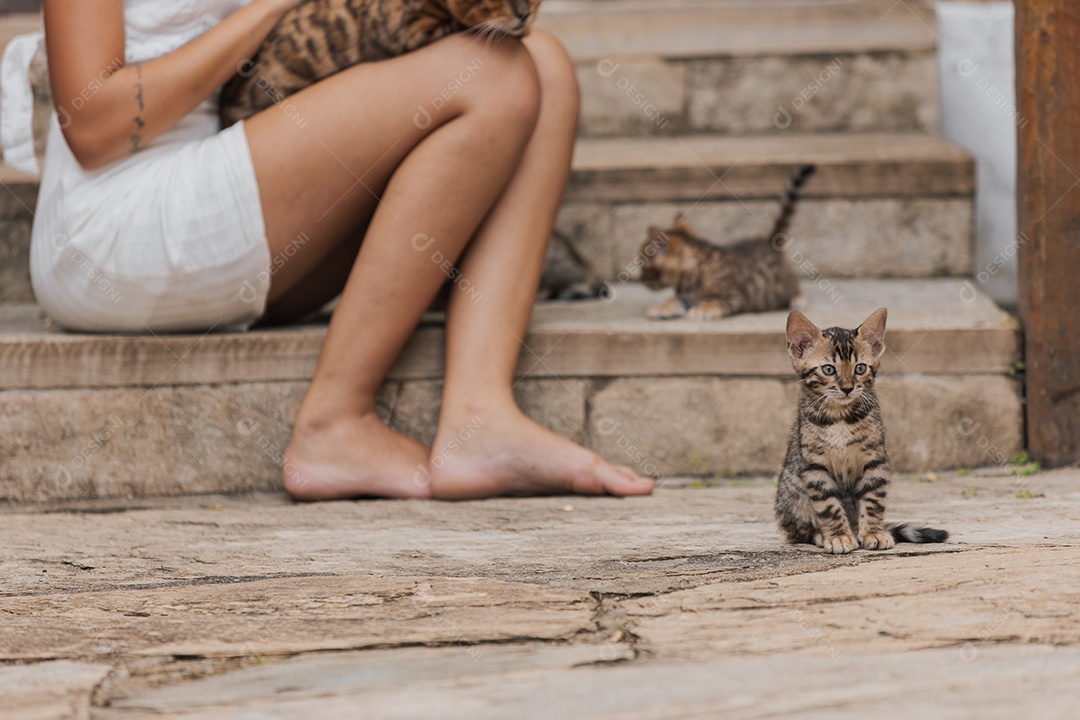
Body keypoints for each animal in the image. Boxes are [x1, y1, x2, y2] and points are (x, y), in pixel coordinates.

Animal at [635, 165, 812, 321]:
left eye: (642, 266)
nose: (640, 280)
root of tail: (768, 241)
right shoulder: (684, 297)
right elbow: (674, 300)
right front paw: (661, 307)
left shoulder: (733, 297)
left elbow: (715, 301)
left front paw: (702, 309)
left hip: (784, 281)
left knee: (794, 282)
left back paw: (798, 298)